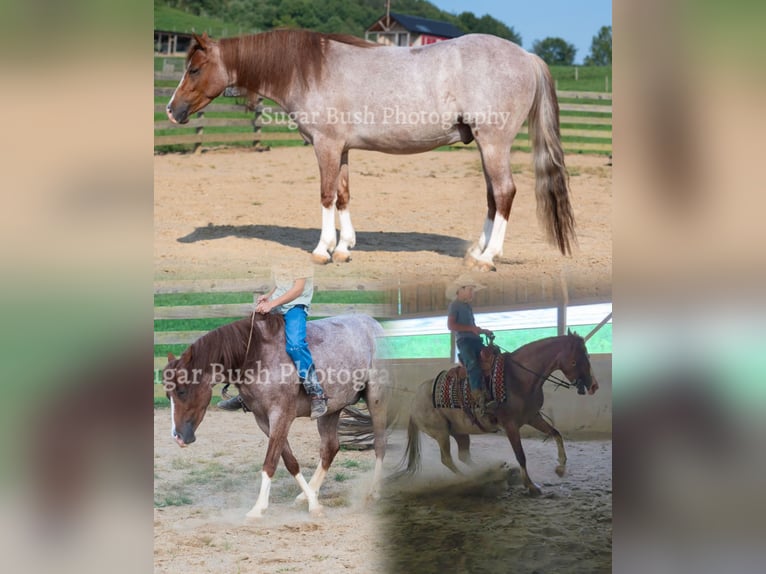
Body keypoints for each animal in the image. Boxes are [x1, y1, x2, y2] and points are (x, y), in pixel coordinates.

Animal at [162, 312, 389, 518]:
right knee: (330, 447)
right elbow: (290, 461)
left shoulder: (281, 416)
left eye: (182, 391)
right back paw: (307, 494)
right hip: (331, 409)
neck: (255, 355)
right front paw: (312, 502)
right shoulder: (263, 420)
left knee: (379, 444)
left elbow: (270, 462)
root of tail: (374, 324)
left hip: (376, 399)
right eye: (168, 394)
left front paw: (257, 508)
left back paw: (374, 493)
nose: (177, 436)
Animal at [165, 29, 575, 271]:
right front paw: (345, 247)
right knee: (493, 196)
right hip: (487, 147)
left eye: (195, 69)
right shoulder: (342, 149)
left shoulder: (326, 146)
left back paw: (489, 258)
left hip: (493, 143)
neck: (309, 69)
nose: (171, 110)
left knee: (505, 192)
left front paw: (323, 249)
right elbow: (344, 195)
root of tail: (526, 57)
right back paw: (477, 251)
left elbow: (326, 195)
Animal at [397, 331, 599, 495]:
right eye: (580, 357)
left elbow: (556, 434)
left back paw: (494, 473)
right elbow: (521, 455)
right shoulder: (510, 425)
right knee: (447, 459)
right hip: (441, 433)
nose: (594, 386)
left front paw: (560, 468)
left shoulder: (533, 417)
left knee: (463, 456)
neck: (518, 377)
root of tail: (413, 402)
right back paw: (473, 480)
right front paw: (531, 486)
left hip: (459, 432)